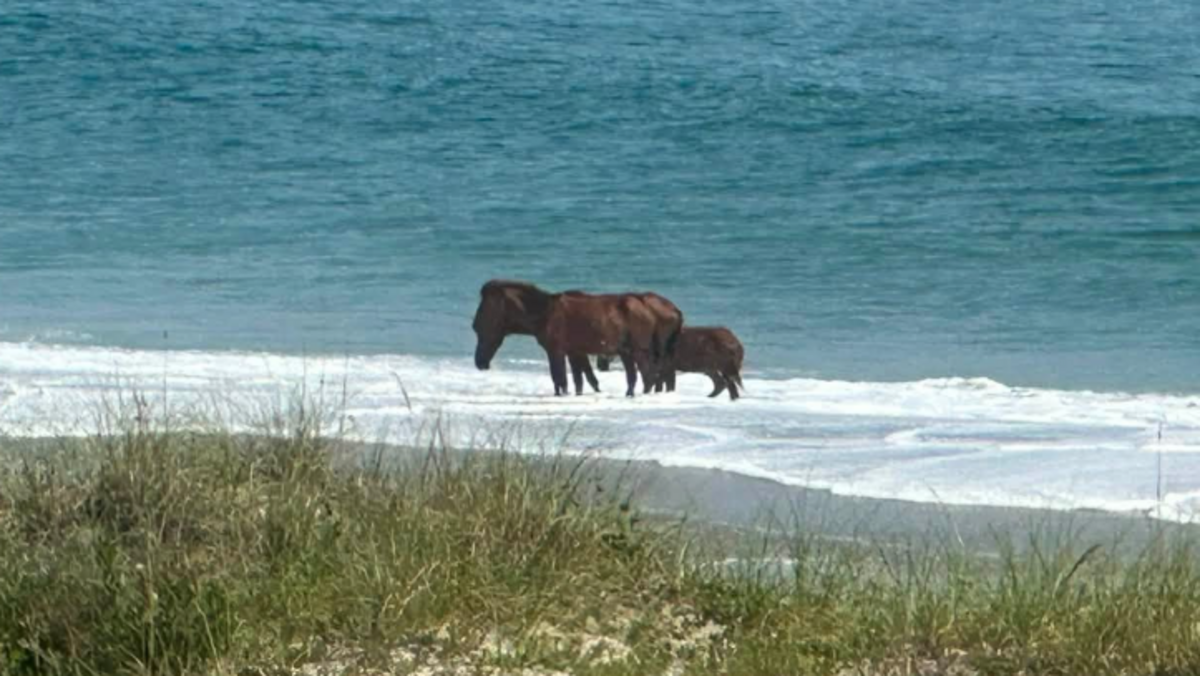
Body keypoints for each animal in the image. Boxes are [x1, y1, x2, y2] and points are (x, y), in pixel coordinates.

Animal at [472, 280, 662, 397]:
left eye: (479, 327)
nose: (480, 363)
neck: (544, 312)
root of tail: (646, 307)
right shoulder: (573, 352)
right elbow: (578, 381)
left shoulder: (556, 351)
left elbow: (560, 378)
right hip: (626, 352)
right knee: (634, 377)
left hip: (638, 351)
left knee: (647, 376)